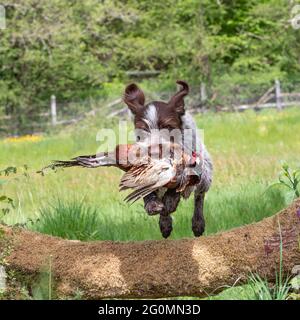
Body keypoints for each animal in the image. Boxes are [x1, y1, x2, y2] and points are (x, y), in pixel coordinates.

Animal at [123, 80, 212, 238]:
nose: (154, 151)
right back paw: (165, 223)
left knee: (199, 196)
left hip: (206, 174)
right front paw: (153, 204)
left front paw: (170, 200)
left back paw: (197, 223)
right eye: (142, 131)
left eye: (169, 127)